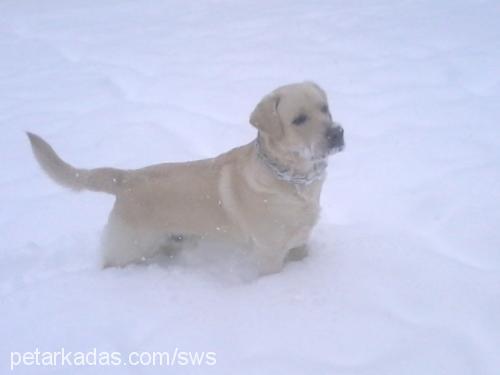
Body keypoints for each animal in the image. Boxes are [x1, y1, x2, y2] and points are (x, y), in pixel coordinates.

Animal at [27, 82, 344, 276]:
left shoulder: (300, 244)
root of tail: (126, 178)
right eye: (299, 119)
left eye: (324, 108)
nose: (337, 133)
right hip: (130, 248)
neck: (294, 181)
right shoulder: (270, 254)